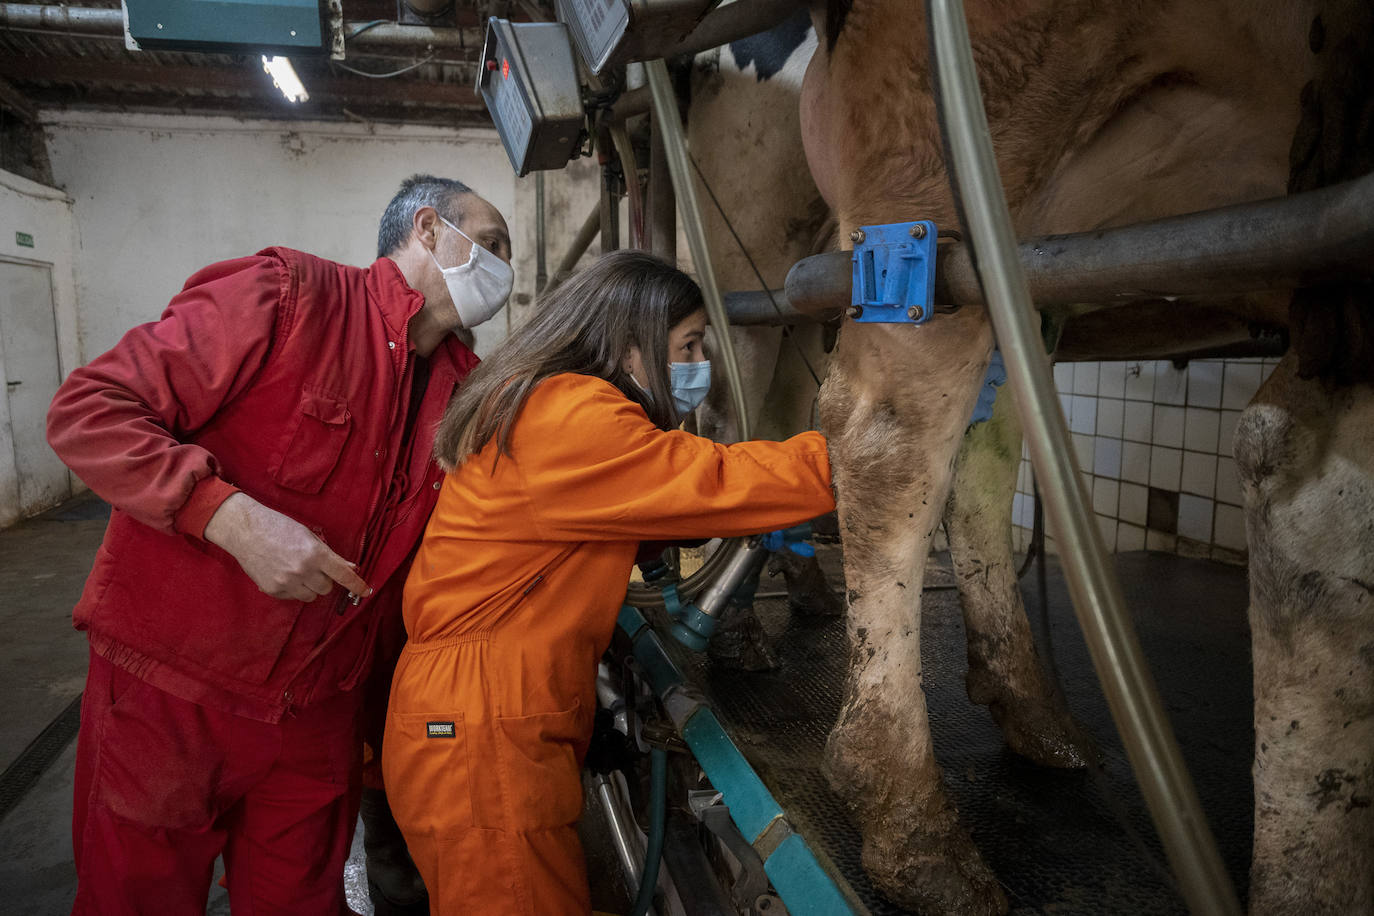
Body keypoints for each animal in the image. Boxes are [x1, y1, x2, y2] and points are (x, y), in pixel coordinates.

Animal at [802, 1, 1368, 916]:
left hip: (1036, 256)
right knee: (886, 434)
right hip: (963, 158)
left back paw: (1029, 704)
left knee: (983, 450)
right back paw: (911, 828)